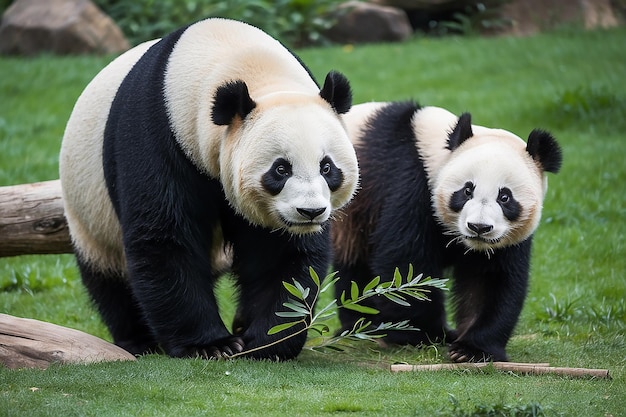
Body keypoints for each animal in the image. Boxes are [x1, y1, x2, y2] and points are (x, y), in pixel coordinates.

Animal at [62, 17, 360, 360]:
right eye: (281, 169)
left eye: (327, 167)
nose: (310, 212)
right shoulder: (158, 136)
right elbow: (165, 236)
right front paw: (211, 346)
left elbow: (281, 254)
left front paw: (266, 341)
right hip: (88, 209)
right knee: (111, 278)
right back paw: (138, 340)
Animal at [332, 101, 560, 360]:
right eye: (467, 190)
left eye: (505, 197)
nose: (479, 227)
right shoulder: (409, 182)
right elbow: (407, 262)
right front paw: (424, 334)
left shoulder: (504, 238)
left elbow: (491, 279)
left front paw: (471, 349)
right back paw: (363, 324)